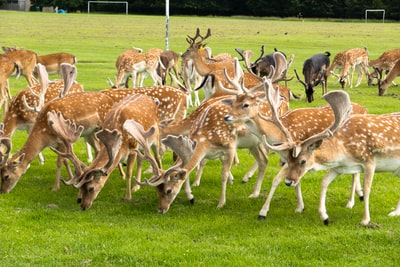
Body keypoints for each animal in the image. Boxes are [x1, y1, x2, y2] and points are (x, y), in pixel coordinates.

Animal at [262, 87, 400, 229]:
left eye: (303, 161)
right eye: (287, 160)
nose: (288, 182)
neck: (344, 153)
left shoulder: (369, 161)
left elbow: (367, 189)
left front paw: (365, 220)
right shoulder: (339, 168)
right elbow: (324, 182)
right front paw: (325, 217)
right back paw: (395, 212)